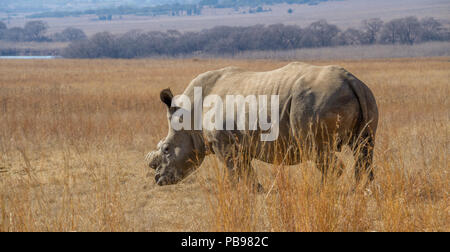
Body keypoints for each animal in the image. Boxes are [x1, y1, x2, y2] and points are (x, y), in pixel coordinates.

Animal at [147, 62, 376, 189]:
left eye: (166, 149)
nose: (158, 179)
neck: (189, 117)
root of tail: (350, 79)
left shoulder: (223, 143)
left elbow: (233, 169)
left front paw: (235, 191)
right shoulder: (239, 142)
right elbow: (245, 168)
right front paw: (256, 189)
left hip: (315, 103)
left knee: (317, 150)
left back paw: (323, 192)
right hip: (366, 94)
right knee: (363, 150)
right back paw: (360, 190)